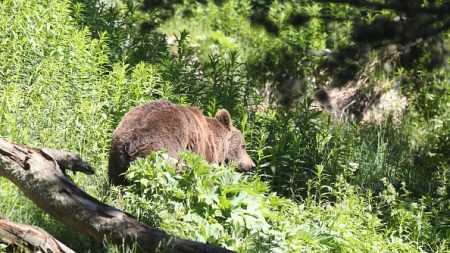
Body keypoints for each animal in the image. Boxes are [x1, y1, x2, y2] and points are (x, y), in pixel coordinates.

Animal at [108, 100, 255, 185]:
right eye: (243, 146)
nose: (252, 165)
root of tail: (132, 141)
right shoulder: (201, 154)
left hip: (117, 154)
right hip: (161, 152)